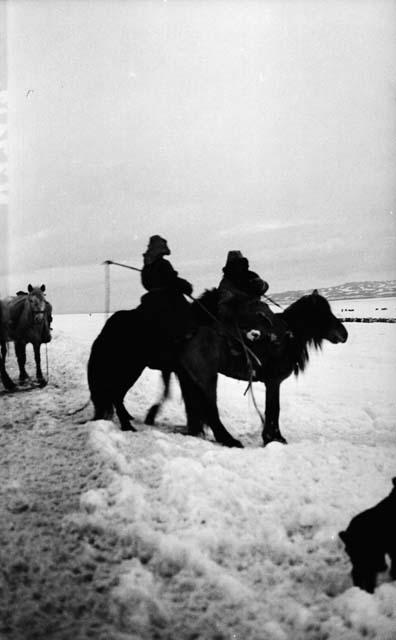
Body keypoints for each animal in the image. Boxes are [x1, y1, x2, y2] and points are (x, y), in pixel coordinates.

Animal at [86, 288, 346, 444]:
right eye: (322, 312)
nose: (344, 334)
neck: (285, 337)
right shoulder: (273, 382)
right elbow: (274, 410)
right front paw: (274, 438)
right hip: (166, 371)